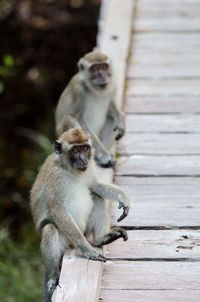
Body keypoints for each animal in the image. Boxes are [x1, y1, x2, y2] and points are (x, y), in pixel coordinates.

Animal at [29, 128, 130, 302]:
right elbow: (57, 210)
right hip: (66, 240)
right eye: (75, 150)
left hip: (85, 230)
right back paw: (54, 275)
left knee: (97, 196)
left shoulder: (89, 168)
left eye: (84, 148)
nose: (83, 159)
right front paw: (87, 249)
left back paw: (101, 239)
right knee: (50, 229)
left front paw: (122, 196)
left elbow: (96, 186)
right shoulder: (56, 178)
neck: (68, 169)